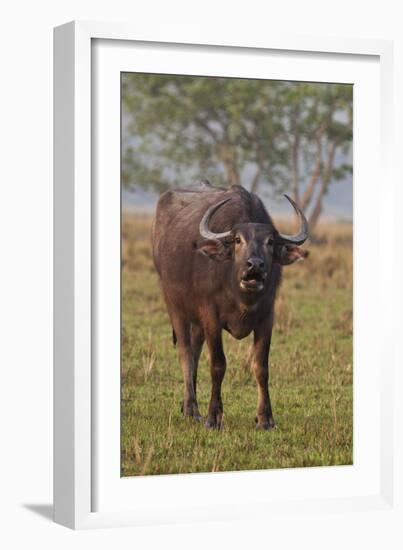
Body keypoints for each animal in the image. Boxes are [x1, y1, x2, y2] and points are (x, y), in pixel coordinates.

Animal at [152, 181, 310, 432]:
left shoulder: (266, 318)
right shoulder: (211, 317)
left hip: (197, 321)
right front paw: (214, 417)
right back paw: (192, 409)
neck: (241, 296)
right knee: (186, 352)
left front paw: (265, 418)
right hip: (174, 305)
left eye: (270, 242)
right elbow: (218, 365)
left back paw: (188, 406)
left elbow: (261, 367)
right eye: (238, 240)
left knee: (195, 351)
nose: (255, 265)